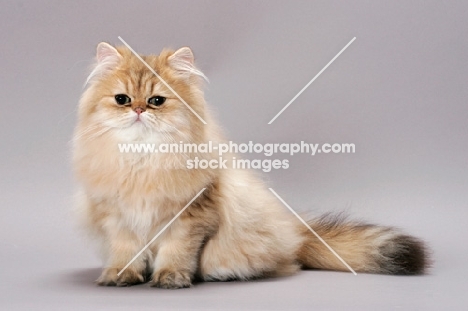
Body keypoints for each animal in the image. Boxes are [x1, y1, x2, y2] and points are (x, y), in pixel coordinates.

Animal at [72, 42, 428, 290]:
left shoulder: (190, 217)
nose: (139, 111)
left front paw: (171, 277)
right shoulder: (117, 219)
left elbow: (175, 252)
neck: (142, 159)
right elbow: (126, 253)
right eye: (122, 100)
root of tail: (294, 233)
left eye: (157, 101)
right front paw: (121, 276)